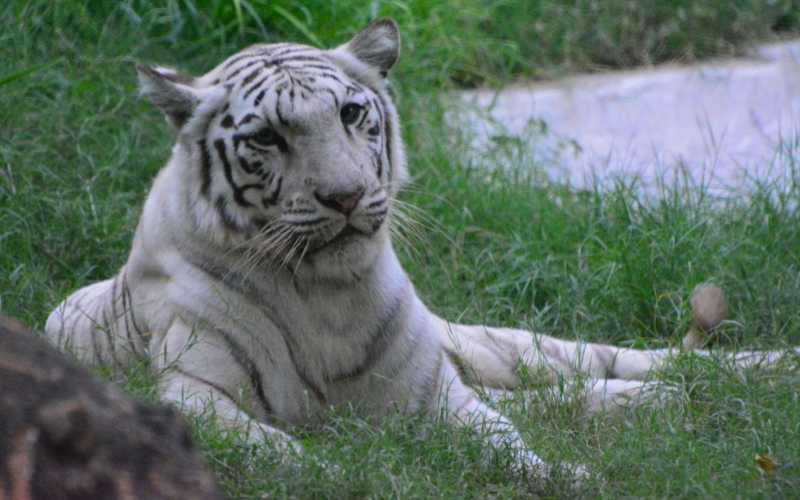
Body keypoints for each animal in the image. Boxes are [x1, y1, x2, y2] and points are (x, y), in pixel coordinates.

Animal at [45, 18, 800, 480]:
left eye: (351, 114)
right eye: (267, 137)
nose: (346, 197)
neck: (326, 292)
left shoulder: (436, 392)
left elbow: (509, 443)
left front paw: (567, 476)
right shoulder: (195, 394)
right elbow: (285, 452)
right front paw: (337, 470)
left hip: (499, 346)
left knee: (615, 364)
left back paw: (747, 375)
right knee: (569, 395)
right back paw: (667, 403)